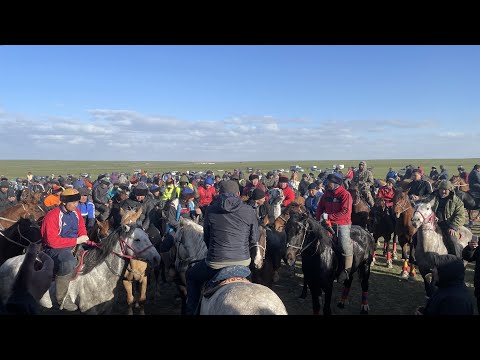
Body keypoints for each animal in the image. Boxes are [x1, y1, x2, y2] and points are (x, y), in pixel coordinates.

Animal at [0, 221, 161, 314]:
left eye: (148, 236)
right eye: (137, 239)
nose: (157, 258)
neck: (99, 274)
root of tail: (5, 264)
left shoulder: (106, 309)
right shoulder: (90, 311)